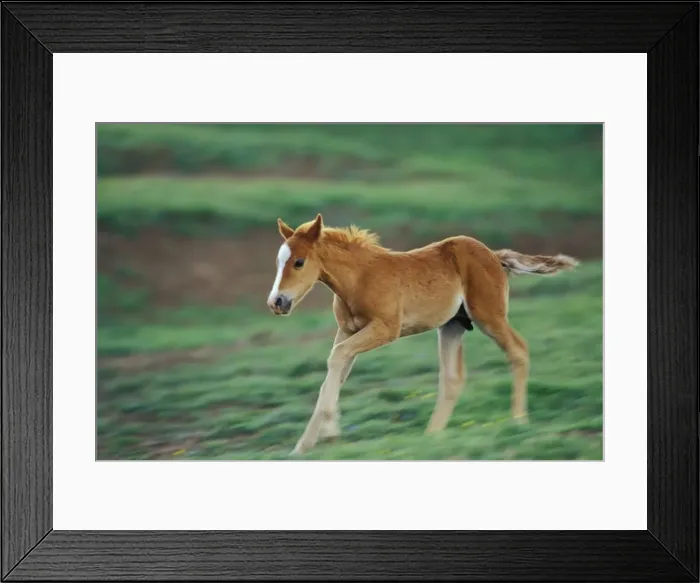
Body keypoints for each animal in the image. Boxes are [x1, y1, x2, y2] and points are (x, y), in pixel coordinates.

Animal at [266, 213, 579, 456]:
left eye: (299, 262)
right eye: (279, 263)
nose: (276, 302)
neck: (359, 278)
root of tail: (494, 255)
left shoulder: (386, 328)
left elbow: (336, 357)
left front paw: (330, 433)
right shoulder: (346, 330)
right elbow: (333, 371)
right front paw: (301, 448)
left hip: (489, 315)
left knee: (518, 350)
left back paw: (518, 421)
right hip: (453, 325)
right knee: (452, 378)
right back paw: (432, 436)